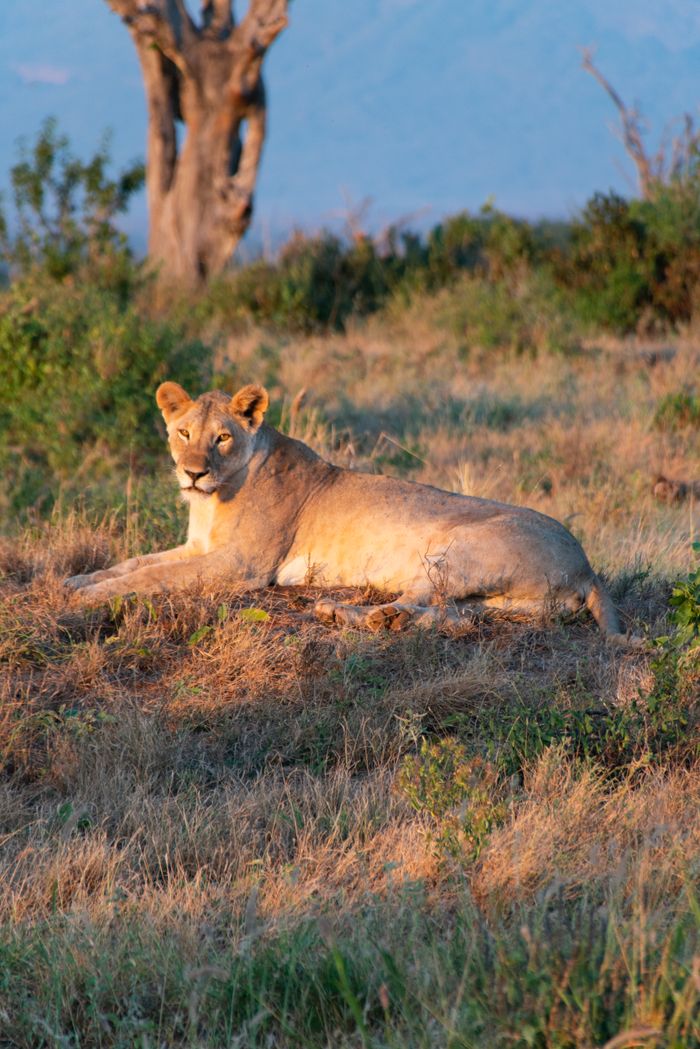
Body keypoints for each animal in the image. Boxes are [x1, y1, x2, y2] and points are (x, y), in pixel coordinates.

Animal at [65, 381, 625, 639]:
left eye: (221, 437)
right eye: (183, 433)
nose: (193, 473)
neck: (212, 501)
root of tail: (587, 568)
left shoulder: (242, 566)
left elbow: (152, 578)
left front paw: (88, 595)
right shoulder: (194, 546)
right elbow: (138, 563)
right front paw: (78, 580)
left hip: (454, 550)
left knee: (419, 603)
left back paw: (343, 612)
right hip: (496, 600)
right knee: (448, 616)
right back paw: (369, 617)